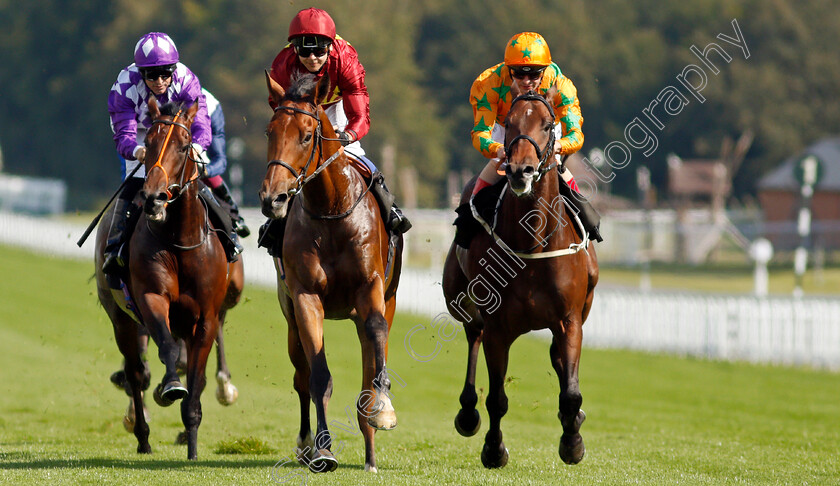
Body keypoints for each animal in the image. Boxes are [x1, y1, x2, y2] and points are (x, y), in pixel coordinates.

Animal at [97, 98, 246, 460]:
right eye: (148, 143)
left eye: (183, 144)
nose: (153, 196)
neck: (180, 240)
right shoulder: (151, 298)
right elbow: (164, 348)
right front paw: (170, 387)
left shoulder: (206, 315)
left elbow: (197, 379)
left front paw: (191, 443)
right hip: (120, 316)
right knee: (136, 372)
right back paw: (142, 433)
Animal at [260, 74, 404, 472]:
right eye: (270, 131)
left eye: (307, 135)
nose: (272, 198)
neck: (332, 212)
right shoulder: (305, 297)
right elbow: (318, 376)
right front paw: (323, 450)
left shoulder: (371, 288)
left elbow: (375, 336)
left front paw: (383, 410)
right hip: (290, 318)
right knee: (301, 375)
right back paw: (307, 444)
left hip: (383, 303)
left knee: (371, 359)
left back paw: (370, 450)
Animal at [442, 86, 600, 468]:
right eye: (510, 123)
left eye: (547, 124)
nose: (519, 171)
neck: (533, 243)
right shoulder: (498, 327)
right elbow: (496, 398)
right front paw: (493, 449)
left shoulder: (570, 320)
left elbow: (571, 392)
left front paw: (572, 441)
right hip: (461, 302)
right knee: (473, 336)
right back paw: (467, 413)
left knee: (558, 359)